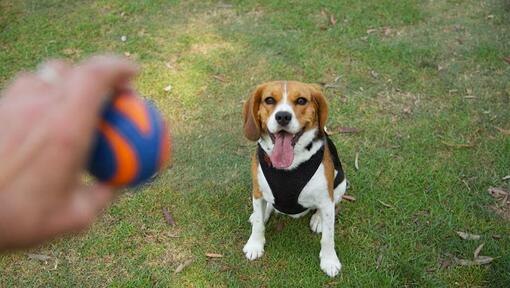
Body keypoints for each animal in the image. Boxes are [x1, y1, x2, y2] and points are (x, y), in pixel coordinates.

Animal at [242, 80, 346, 278]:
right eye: (269, 100)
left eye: (301, 100)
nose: (283, 116)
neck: (289, 166)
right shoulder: (257, 192)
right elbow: (258, 224)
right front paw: (255, 244)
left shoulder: (326, 198)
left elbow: (329, 237)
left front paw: (329, 260)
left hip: (341, 184)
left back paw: (318, 219)